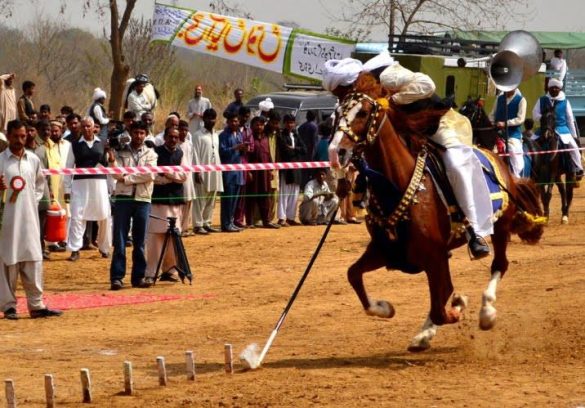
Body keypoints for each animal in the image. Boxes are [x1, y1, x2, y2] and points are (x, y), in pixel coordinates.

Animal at [331, 73, 545, 351]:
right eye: (337, 113)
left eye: (364, 112)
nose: (337, 152)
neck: (397, 186)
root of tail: (498, 159)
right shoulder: (385, 251)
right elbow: (353, 275)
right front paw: (385, 308)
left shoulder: (434, 256)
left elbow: (442, 307)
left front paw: (459, 306)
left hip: (500, 228)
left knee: (499, 265)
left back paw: (486, 312)